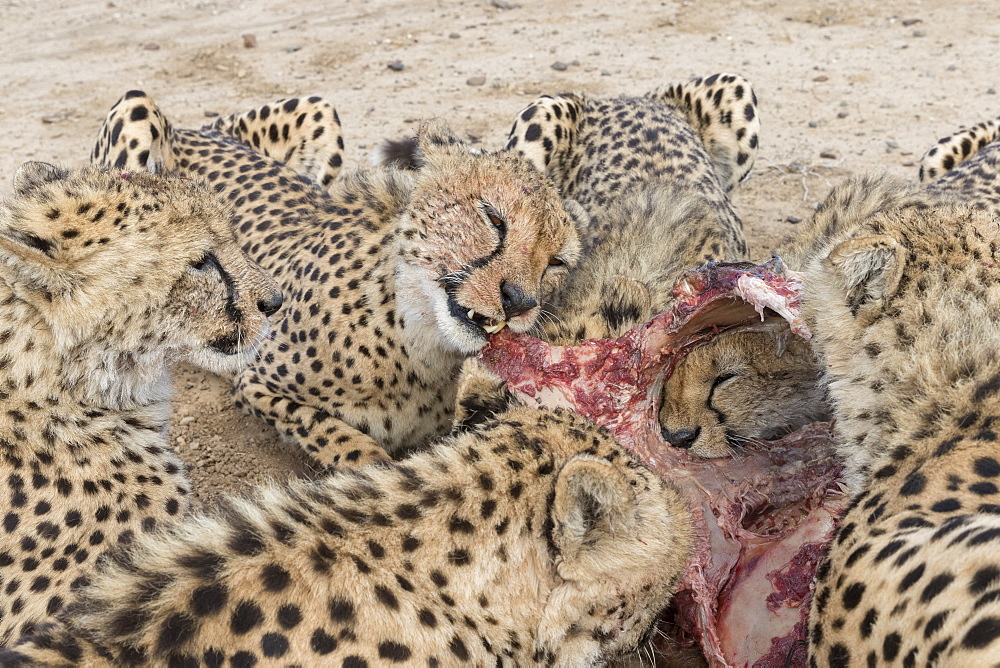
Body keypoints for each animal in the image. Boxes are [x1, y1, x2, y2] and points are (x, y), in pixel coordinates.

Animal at [92, 91, 584, 470]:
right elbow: (335, 435)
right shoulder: (255, 383)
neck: (415, 335)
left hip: (322, 111)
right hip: (136, 112)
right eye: (493, 218)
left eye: (556, 262)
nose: (519, 301)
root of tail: (197, 128)